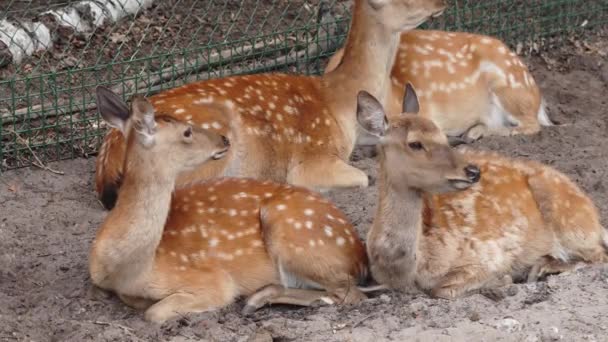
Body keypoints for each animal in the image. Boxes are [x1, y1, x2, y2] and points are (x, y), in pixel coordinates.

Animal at [88, 87, 368, 324]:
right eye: (187, 132)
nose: (223, 139)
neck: (126, 269)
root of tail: (358, 253)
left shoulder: (212, 281)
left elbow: (154, 313)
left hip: (293, 233)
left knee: (349, 293)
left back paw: (255, 299)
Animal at [356, 84, 608, 298]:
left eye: (442, 134)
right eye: (415, 143)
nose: (472, 171)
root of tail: (595, 219)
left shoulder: (487, 254)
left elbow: (442, 289)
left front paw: (503, 280)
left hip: (570, 221)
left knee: (598, 255)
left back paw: (542, 268)